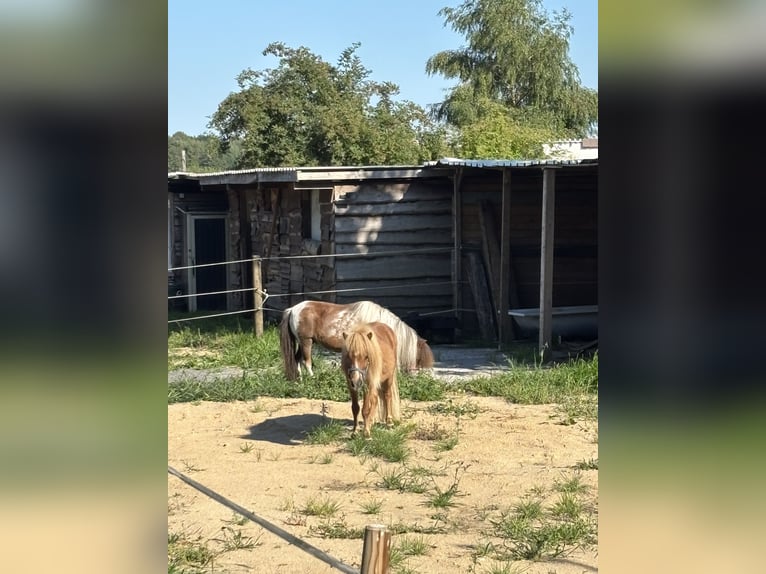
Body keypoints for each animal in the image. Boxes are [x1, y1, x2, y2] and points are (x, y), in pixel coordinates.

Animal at [279, 300, 435, 381]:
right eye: (418, 358)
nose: (414, 376)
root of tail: (293, 309)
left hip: (302, 342)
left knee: (296, 359)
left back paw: (299, 380)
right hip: (307, 342)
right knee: (306, 362)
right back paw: (312, 379)